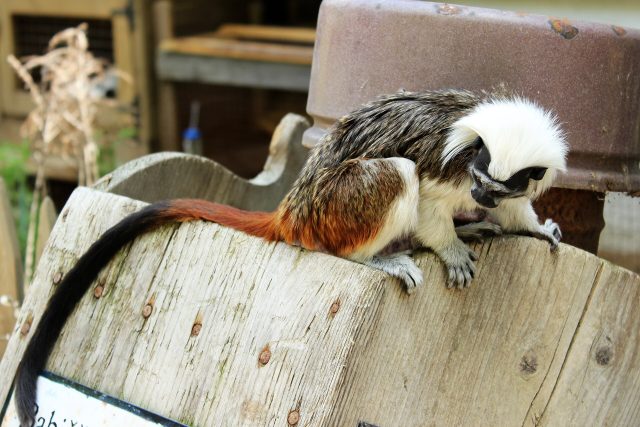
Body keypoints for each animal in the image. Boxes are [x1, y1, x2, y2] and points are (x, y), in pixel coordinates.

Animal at [14, 89, 567, 426]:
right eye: (478, 177)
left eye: (495, 185)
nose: (481, 196)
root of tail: (293, 209)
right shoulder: (448, 164)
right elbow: (428, 198)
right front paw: (450, 248)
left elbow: (519, 210)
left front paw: (535, 228)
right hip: (336, 206)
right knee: (395, 173)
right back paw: (377, 257)